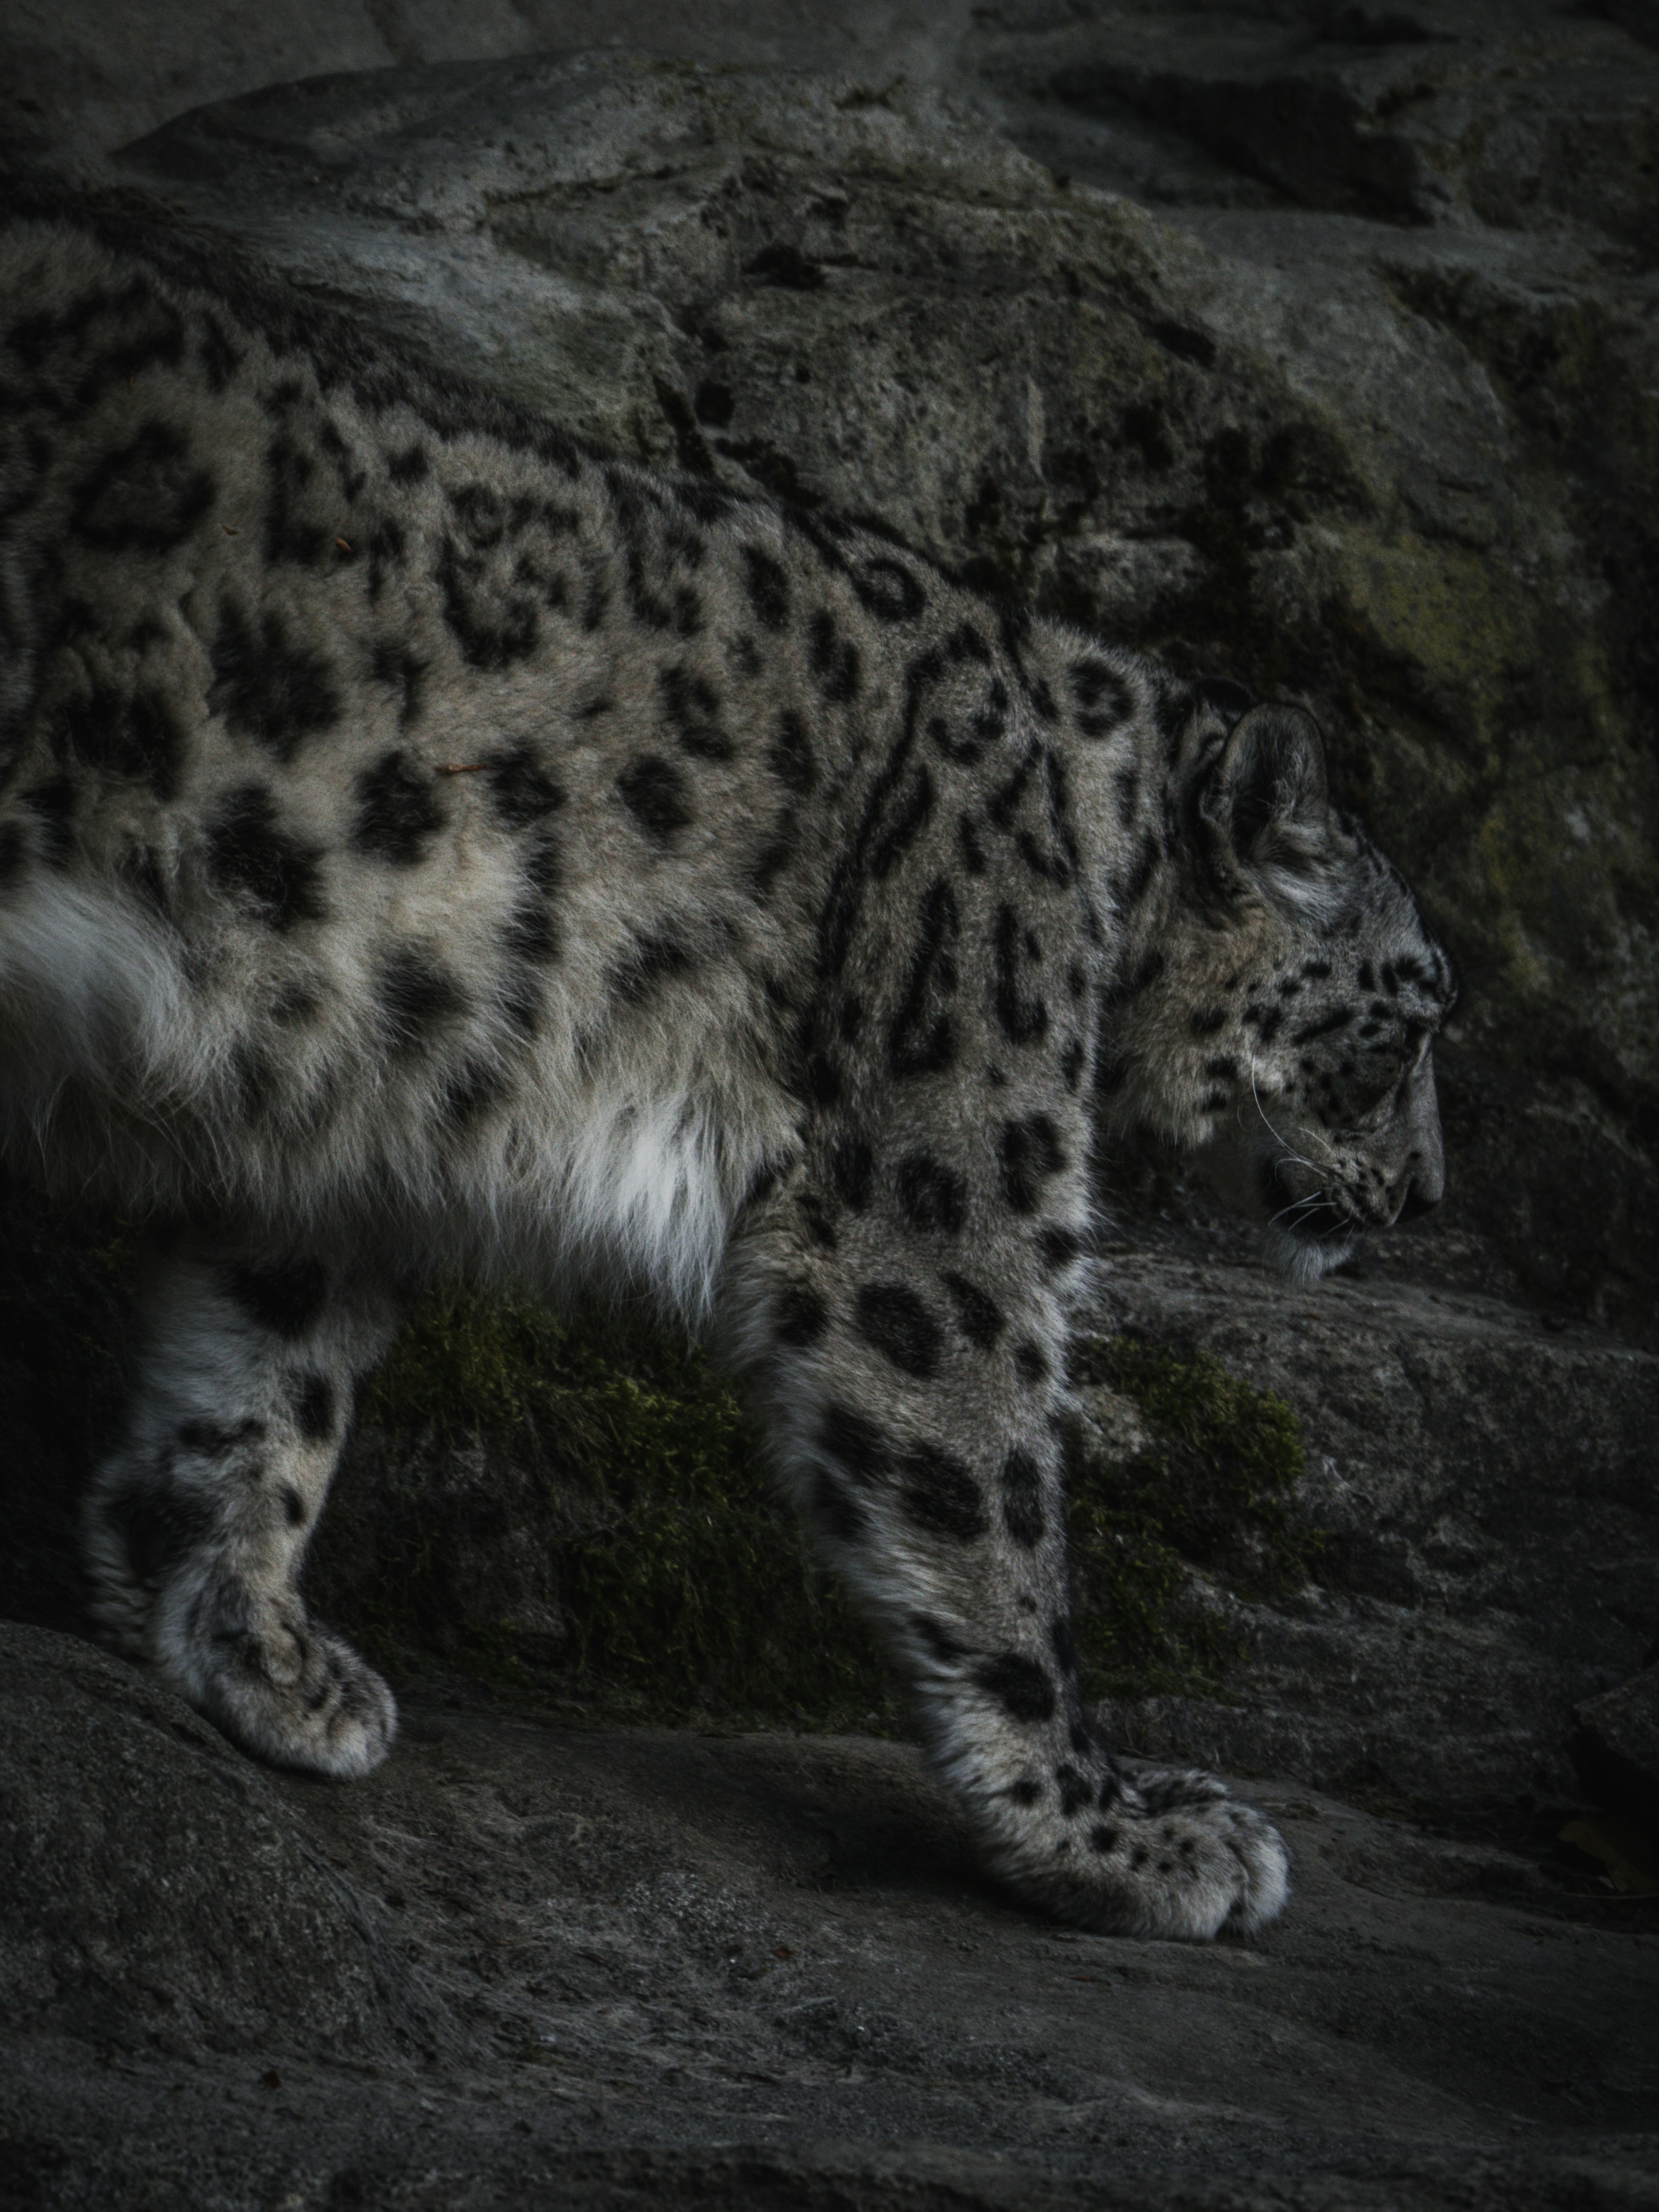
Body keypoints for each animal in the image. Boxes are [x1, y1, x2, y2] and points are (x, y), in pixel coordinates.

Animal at [0, 196, 1455, 1943]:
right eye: (1415, 1021)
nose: (1431, 1195)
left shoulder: (326, 1121)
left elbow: (265, 1374)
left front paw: (248, 1643)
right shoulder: (931, 1200)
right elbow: (988, 1494)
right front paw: (1112, 1827)